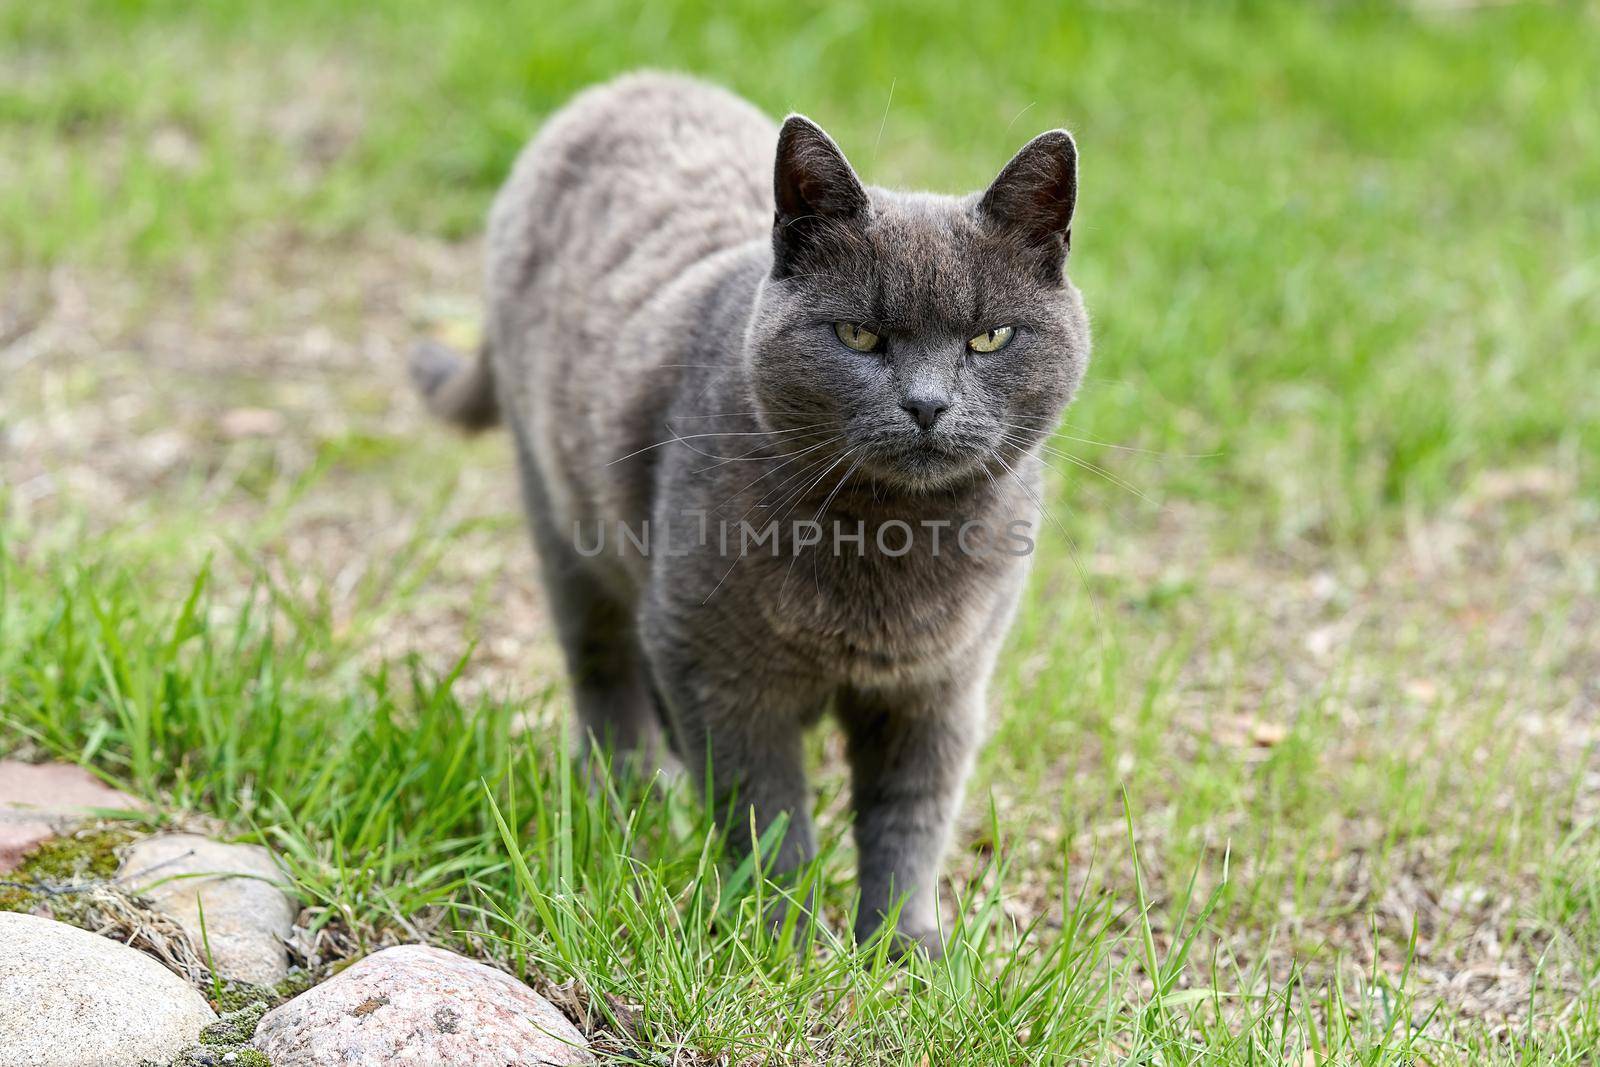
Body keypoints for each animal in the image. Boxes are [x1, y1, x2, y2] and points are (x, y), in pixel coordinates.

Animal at [412, 75, 1088, 959]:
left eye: (990, 337)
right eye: (858, 334)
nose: (927, 404)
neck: (889, 542)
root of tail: (620, 84)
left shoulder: (940, 686)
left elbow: (911, 818)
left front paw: (902, 949)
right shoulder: (722, 671)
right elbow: (767, 814)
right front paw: (782, 943)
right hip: (566, 518)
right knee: (604, 667)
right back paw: (630, 799)